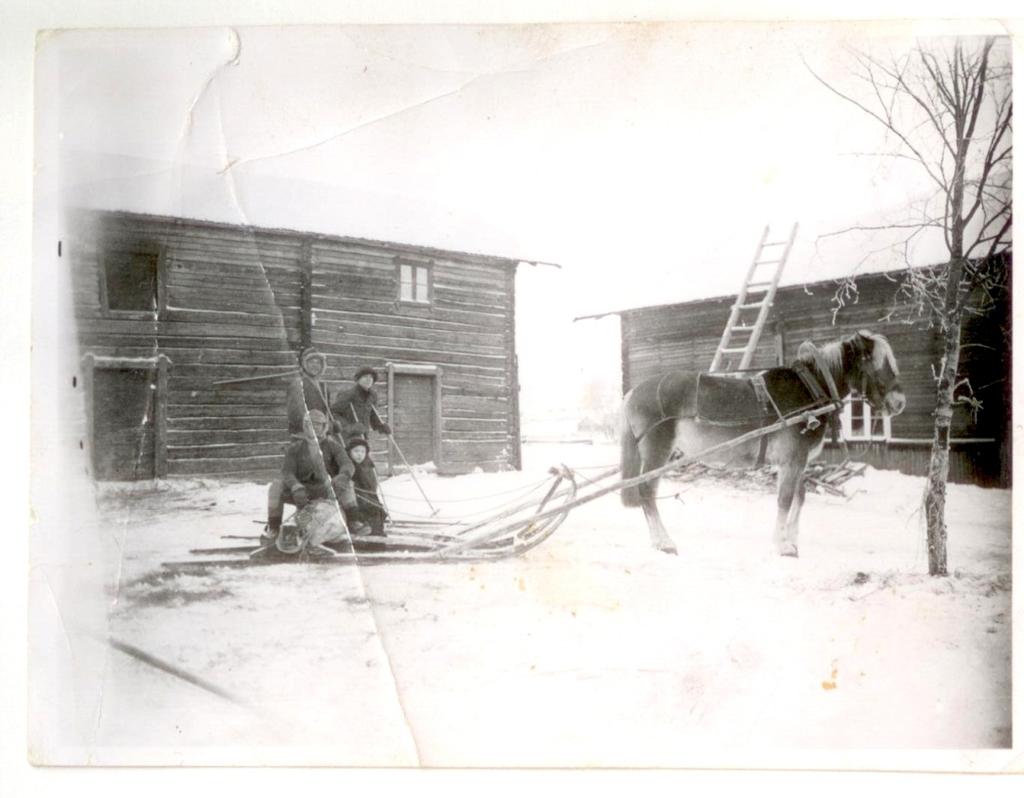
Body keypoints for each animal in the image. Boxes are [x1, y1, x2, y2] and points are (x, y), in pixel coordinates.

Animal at [614, 327, 905, 557]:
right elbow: (785, 500)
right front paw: (782, 545)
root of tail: (633, 392)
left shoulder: (800, 462)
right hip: (657, 452)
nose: (900, 403)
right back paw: (664, 542)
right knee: (646, 492)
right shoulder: (791, 461)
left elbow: (800, 497)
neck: (810, 389)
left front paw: (792, 540)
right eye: (876, 362)